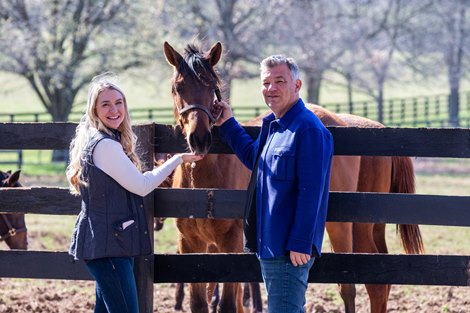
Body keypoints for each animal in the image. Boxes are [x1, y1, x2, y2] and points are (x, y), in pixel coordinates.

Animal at [162, 42, 422, 312]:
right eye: (177, 88)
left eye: (211, 86)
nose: (199, 139)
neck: (206, 189)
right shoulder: (191, 245)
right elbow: (201, 303)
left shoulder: (230, 245)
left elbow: (228, 305)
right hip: (374, 226)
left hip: (349, 226)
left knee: (365, 285)